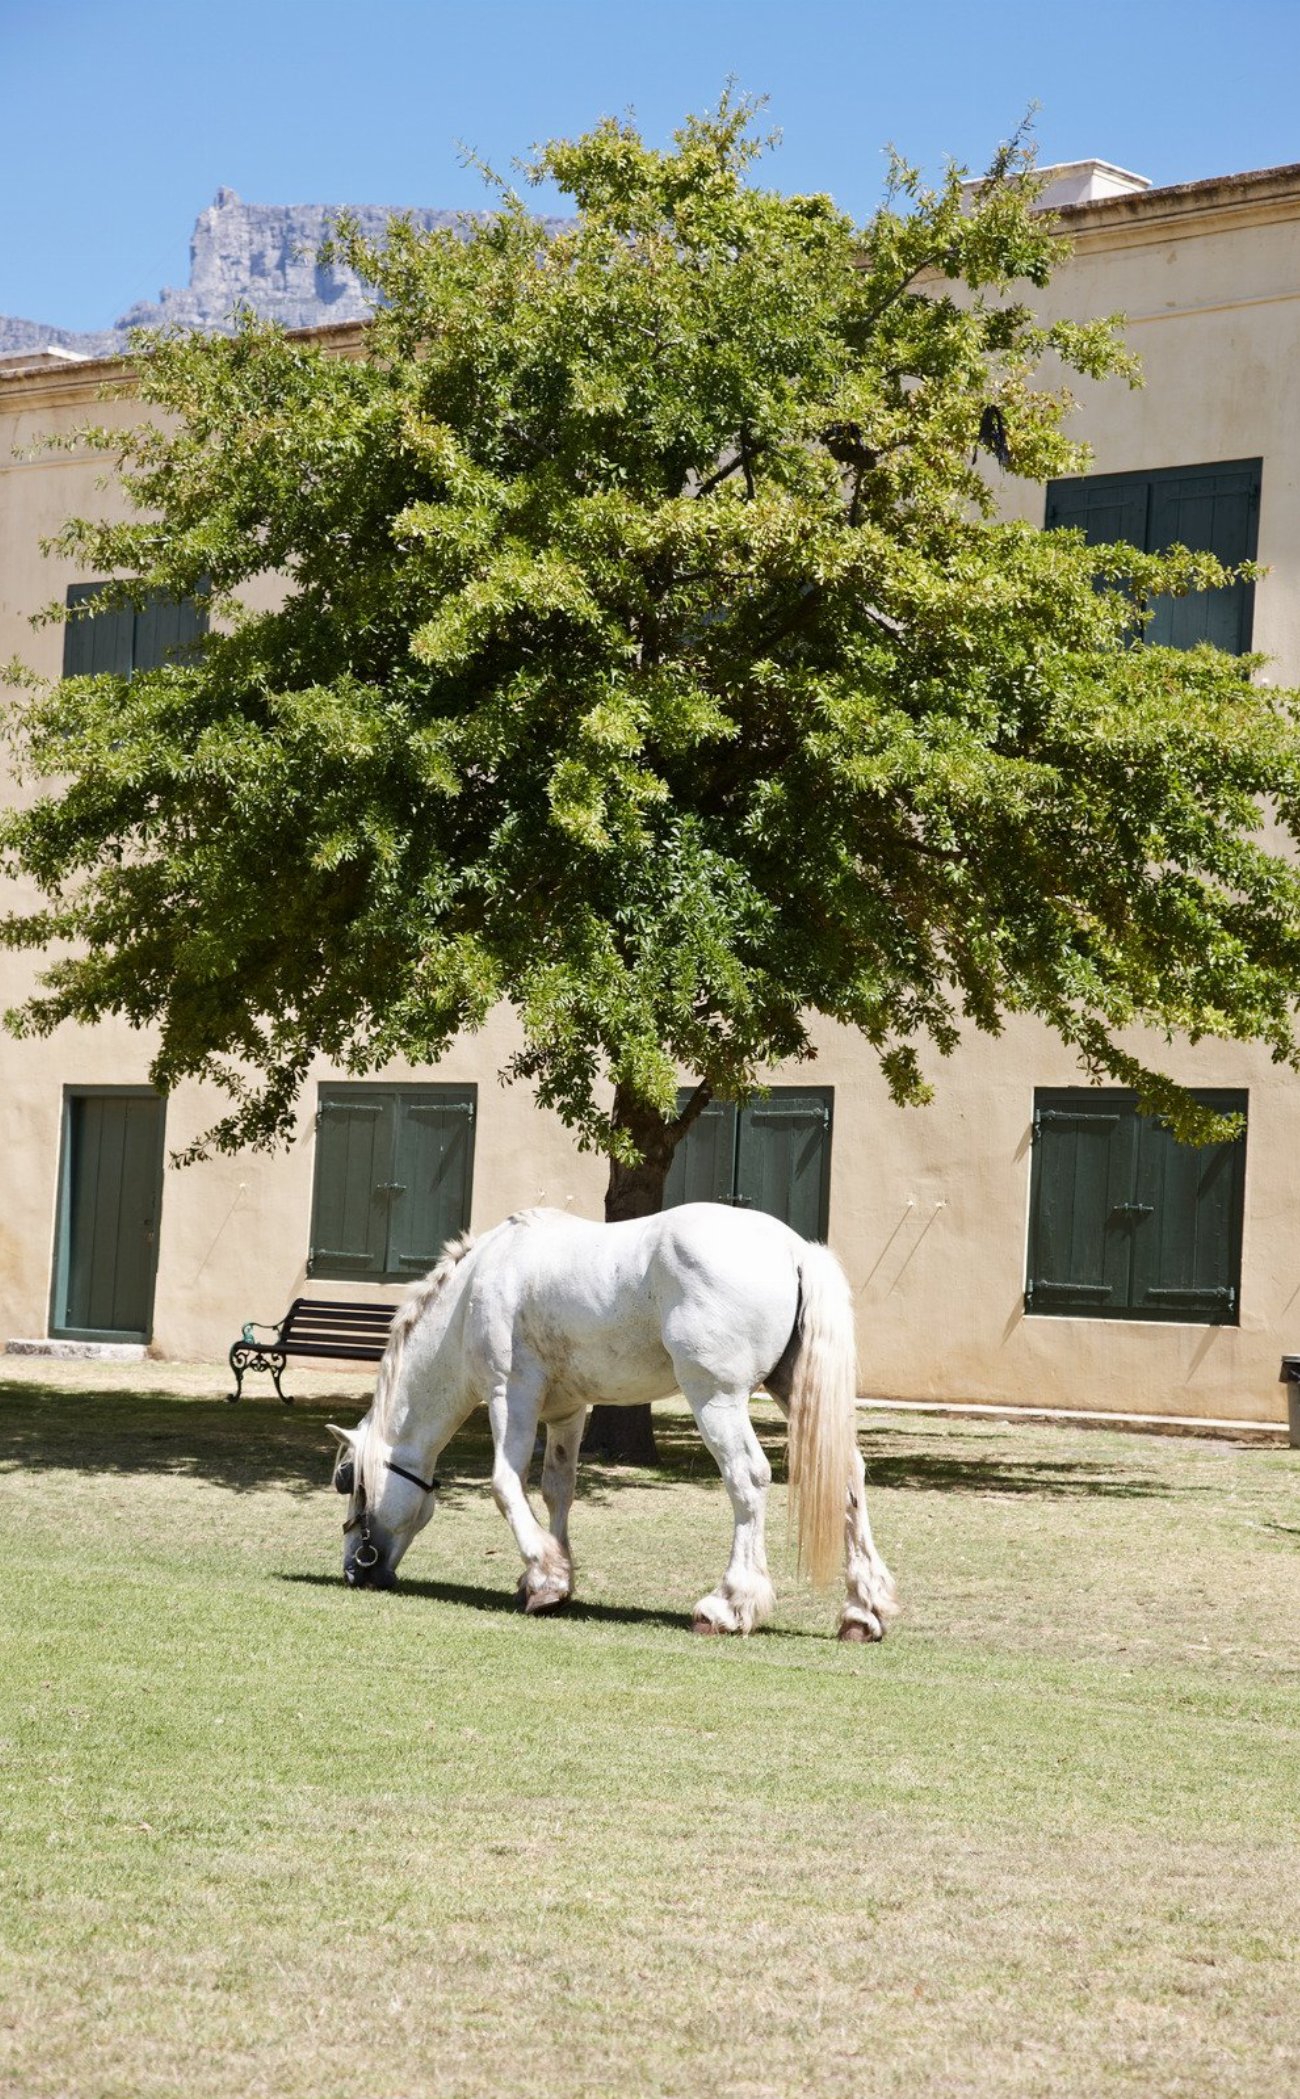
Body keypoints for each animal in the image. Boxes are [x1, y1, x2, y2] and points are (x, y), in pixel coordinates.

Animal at [328, 1203, 897, 1639]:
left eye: (347, 1480)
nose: (356, 1570)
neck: (471, 1294)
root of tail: (795, 1249)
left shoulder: (511, 1395)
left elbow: (505, 1485)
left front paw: (544, 1574)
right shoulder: (566, 1411)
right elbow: (557, 1490)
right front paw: (550, 1580)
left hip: (716, 1399)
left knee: (748, 1479)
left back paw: (728, 1605)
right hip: (792, 1392)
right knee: (849, 1476)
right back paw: (861, 1611)